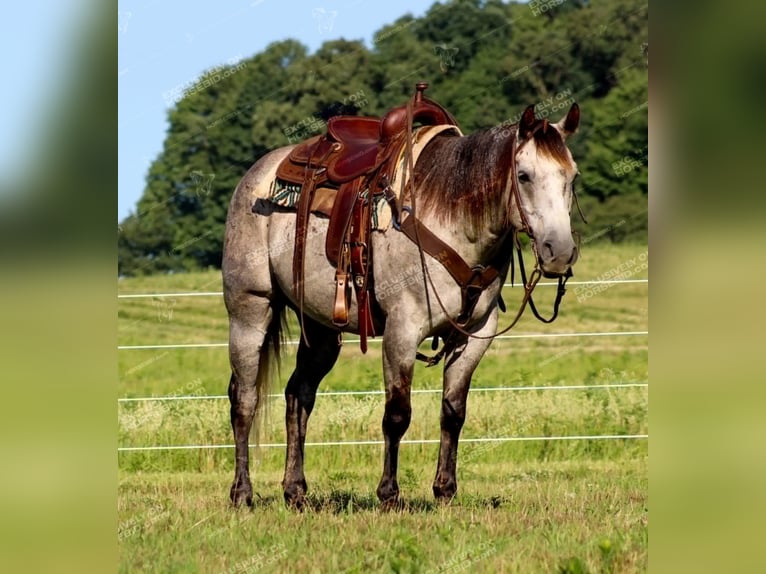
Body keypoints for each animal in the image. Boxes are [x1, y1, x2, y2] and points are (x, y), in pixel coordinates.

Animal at [222, 101, 584, 510]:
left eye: (571, 177)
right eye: (524, 176)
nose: (560, 252)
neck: (452, 220)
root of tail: (259, 172)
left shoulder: (474, 335)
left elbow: (453, 412)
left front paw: (445, 490)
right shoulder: (403, 329)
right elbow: (397, 414)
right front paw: (389, 494)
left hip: (321, 329)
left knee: (298, 395)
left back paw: (295, 490)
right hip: (250, 311)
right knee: (244, 399)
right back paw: (242, 492)